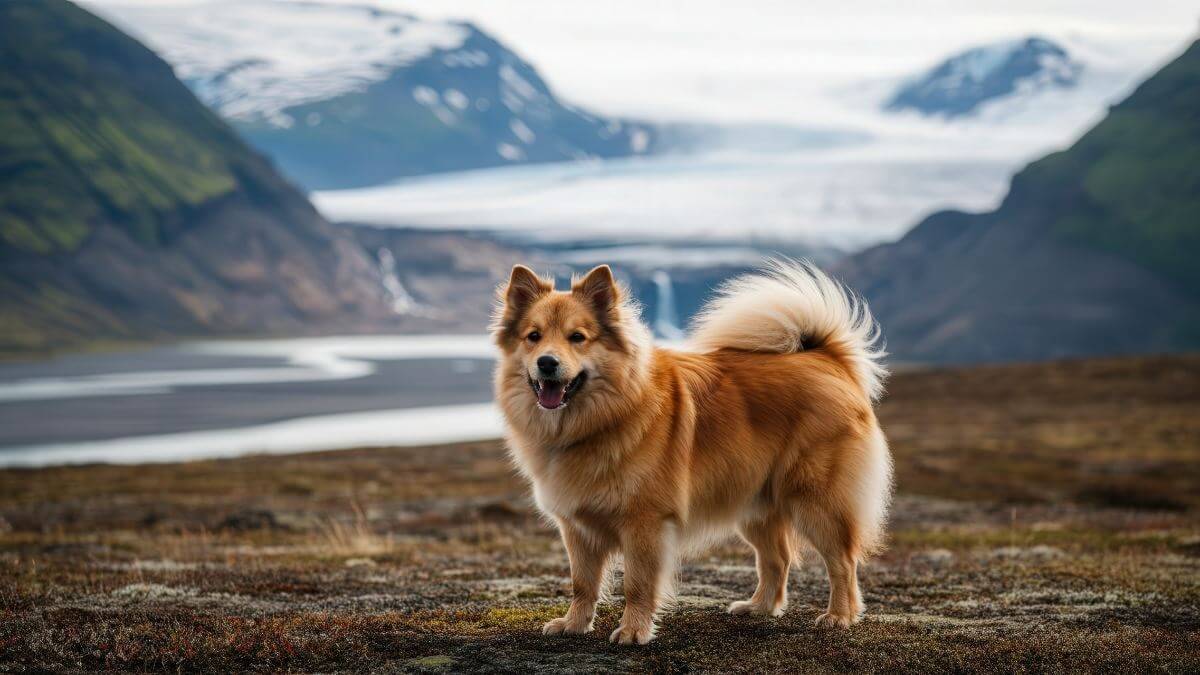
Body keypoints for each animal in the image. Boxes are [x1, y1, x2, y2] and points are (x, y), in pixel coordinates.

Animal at [489, 257, 892, 638]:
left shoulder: (645, 523)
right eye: (533, 336)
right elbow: (582, 584)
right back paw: (759, 607)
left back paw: (840, 616)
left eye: (577, 337)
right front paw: (574, 624)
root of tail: (827, 358)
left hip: (816, 501)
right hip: (755, 504)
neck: (598, 420)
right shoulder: (577, 529)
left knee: (841, 562)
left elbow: (637, 585)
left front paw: (634, 630)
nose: (547, 362)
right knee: (776, 559)